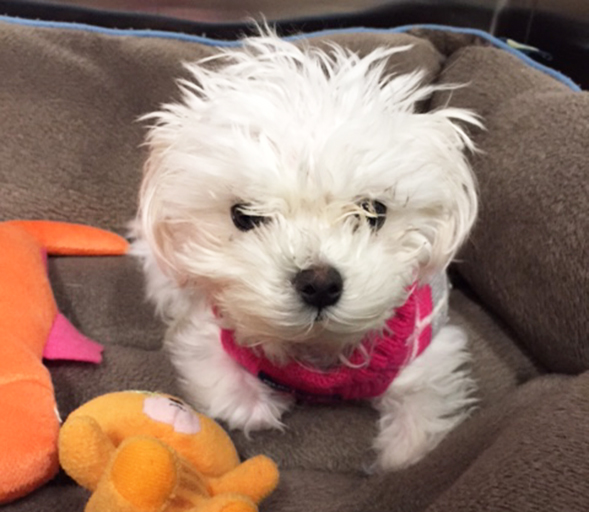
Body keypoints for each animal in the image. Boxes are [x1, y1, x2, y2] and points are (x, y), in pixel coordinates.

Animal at [132, 32, 478, 470]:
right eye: (244, 215)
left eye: (373, 211)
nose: (319, 283)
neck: (319, 351)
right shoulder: (209, 328)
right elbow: (229, 390)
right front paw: (260, 405)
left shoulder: (426, 349)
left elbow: (418, 422)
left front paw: (396, 458)